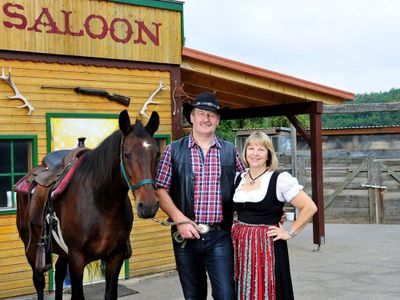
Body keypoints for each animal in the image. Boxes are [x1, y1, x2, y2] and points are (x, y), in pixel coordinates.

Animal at [16, 110, 159, 300]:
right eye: (127, 154)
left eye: (157, 153)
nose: (149, 206)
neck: (102, 204)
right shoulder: (77, 259)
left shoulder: (115, 257)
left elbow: (110, 294)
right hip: (31, 247)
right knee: (39, 282)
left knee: (59, 274)